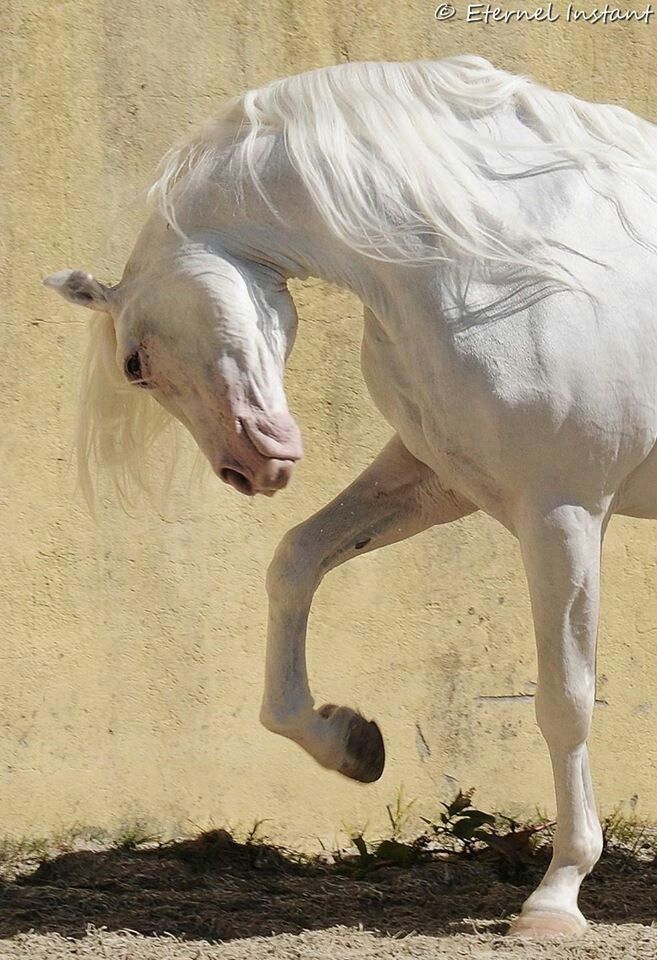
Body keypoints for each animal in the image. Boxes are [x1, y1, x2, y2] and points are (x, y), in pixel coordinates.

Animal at [43, 58, 656, 936]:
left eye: (132, 363)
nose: (249, 468)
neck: (498, 257)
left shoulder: (561, 510)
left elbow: (565, 700)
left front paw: (555, 895)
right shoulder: (439, 479)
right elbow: (296, 560)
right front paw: (348, 742)